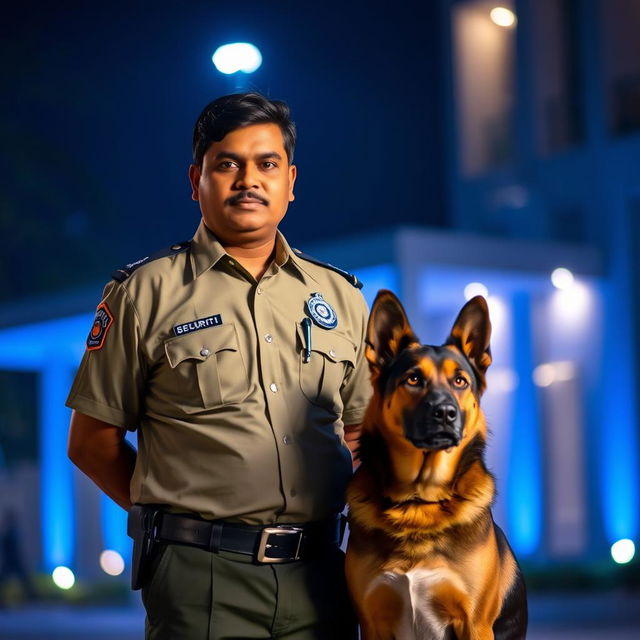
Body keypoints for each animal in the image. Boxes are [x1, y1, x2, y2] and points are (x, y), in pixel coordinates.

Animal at [348, 292, 528, 640]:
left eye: (460, 381)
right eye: (413, 378)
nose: (445, 413)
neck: (418, 502)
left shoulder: (475, 624)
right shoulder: (371, 623)